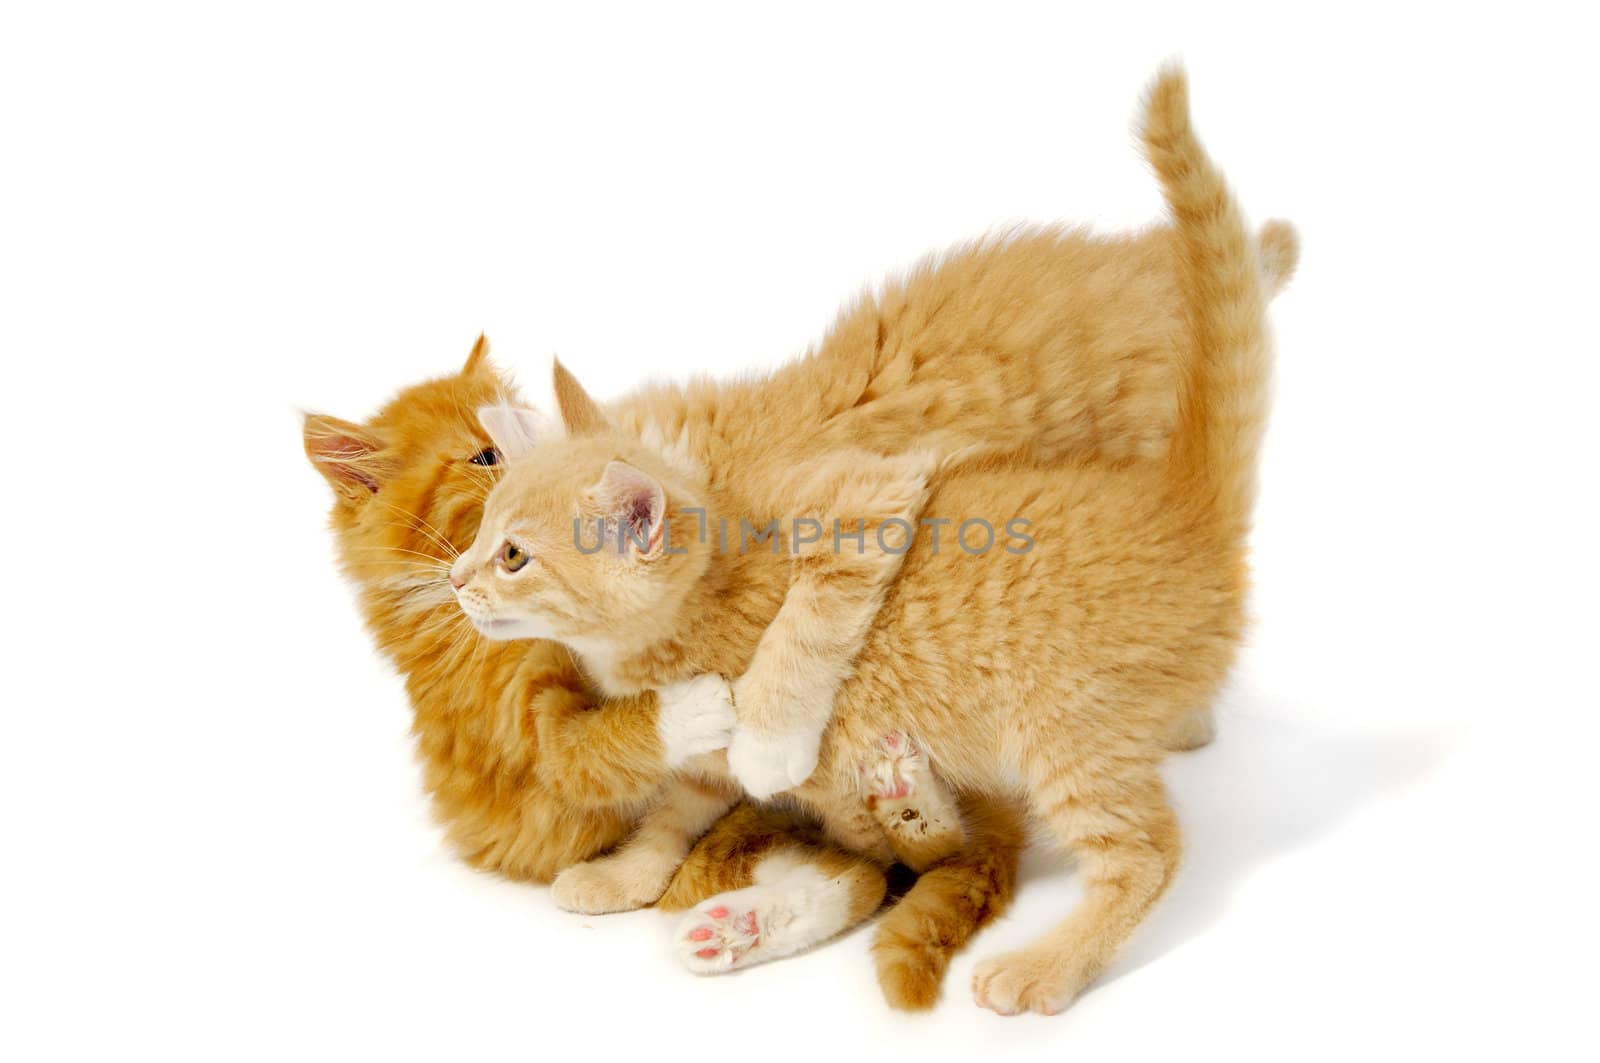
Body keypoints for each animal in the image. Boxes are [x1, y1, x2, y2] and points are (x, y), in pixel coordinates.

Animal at [454, 64, 1273, 1011]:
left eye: (513, 555)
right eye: (482, 528)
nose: (455, 578)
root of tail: (1185, 502)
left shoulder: (864, 498)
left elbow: (808, 664)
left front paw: (772, 742)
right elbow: (678, 802)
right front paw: (627, 872)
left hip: (1066, 719)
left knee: (1141, 851)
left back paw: (1042, 962)